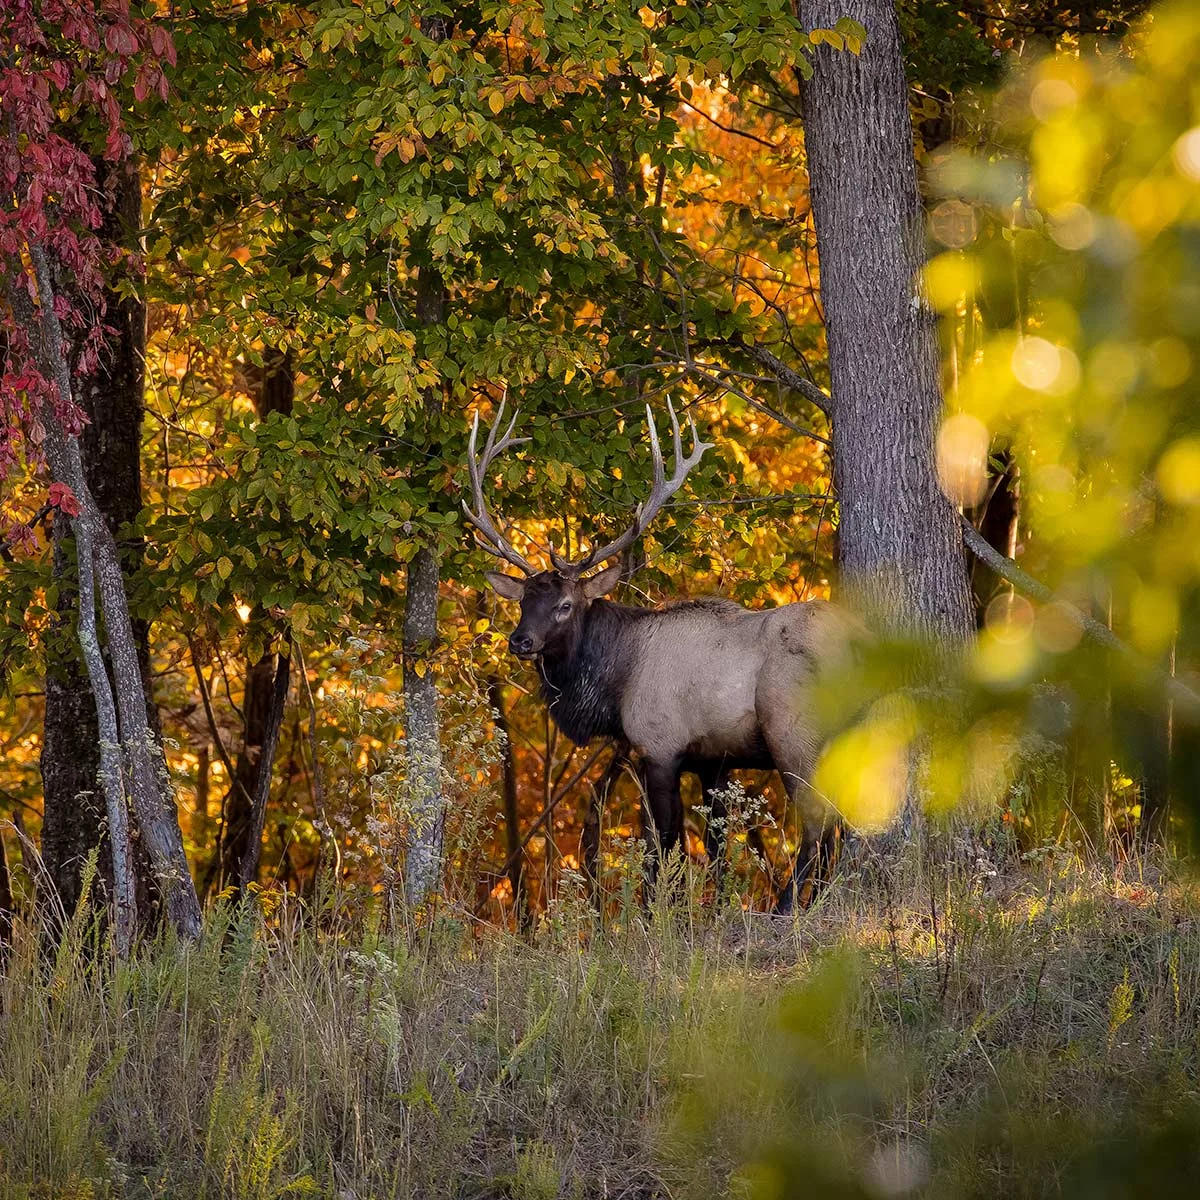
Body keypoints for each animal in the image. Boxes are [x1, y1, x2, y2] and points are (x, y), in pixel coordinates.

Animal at [465, 400, 858, 912]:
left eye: (565, 605)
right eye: (523, 601)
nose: (520, 641)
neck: (615, 683)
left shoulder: (660, 746)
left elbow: (663, 843)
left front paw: (654, 912)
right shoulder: (714, 760)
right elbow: (714, 848)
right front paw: (711, 907)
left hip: (793, 732)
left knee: (815, 822)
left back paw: (787, 906)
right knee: (839, 824)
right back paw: (819, 901)